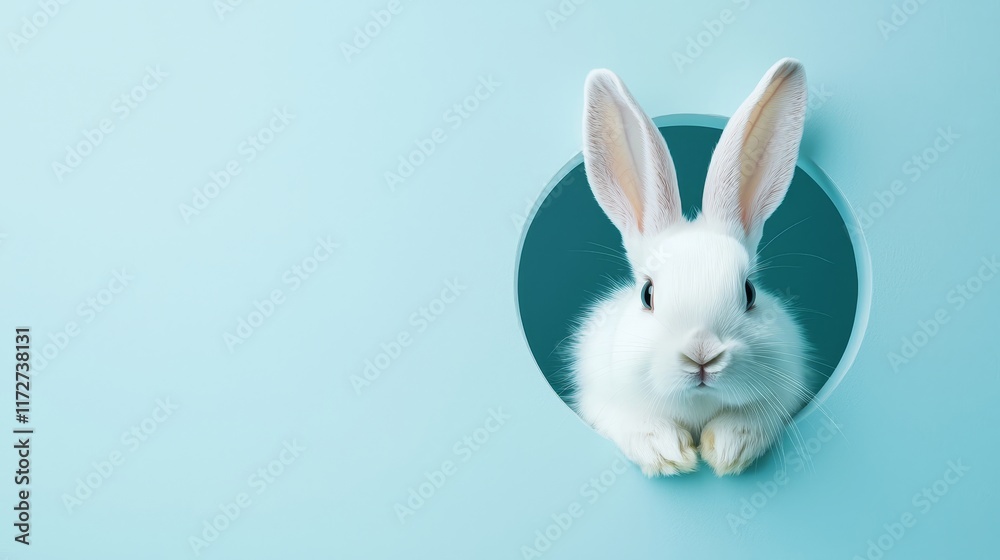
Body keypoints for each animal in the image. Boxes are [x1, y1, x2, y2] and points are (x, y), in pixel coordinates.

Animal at [570, 58, 814, 477]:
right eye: (647, 294)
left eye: (749, 292)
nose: (702, 354)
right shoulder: (597, 400)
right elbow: (634, 421)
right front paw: (667, 452)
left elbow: (755, 417)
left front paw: (730, 447)